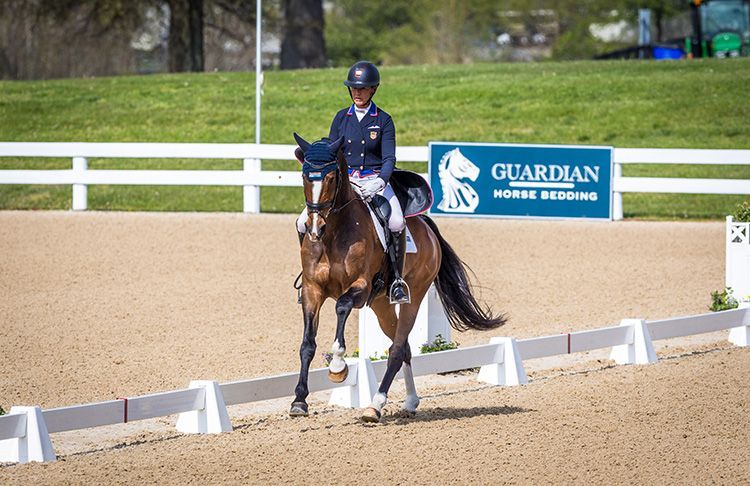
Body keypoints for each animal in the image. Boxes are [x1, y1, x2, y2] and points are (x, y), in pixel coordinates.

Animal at [291, 134, 506, 422]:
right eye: (305, 176)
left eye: (332, 178)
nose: (315, 228)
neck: (334, 234)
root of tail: (425, 226)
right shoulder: (313, 290)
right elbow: (307, 345)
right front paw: (299, 401)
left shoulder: (360, 287)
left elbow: (342, 306)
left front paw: (337, 365)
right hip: (381, 305)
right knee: (403, 348)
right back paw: (410, 401)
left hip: (411, 298)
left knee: (396, 349)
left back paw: (375, 405)